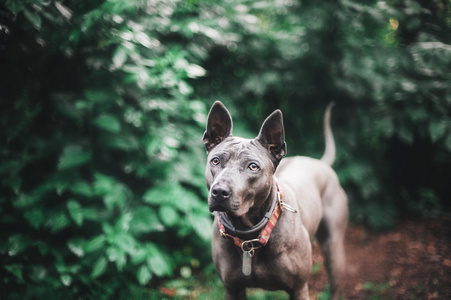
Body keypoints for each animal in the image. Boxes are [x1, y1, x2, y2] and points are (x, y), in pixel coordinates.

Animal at [203, 102, 348, 298]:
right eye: (216, 161)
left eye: (253, 167)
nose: (219, 191)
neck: (248, 236)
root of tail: (320, 163)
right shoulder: (232, 289)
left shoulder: (299, 288)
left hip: (333, 249)